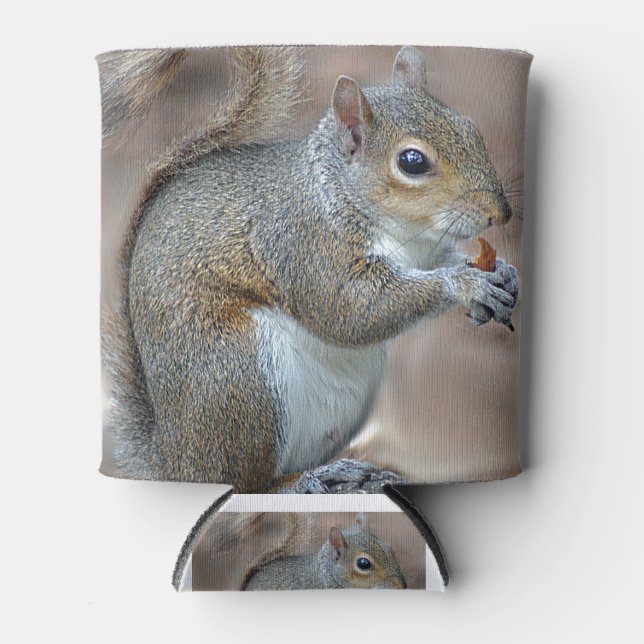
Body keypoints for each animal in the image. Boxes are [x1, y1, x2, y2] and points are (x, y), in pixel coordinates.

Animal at [99, 46, 519, 492]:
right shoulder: (305, 243)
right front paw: (467, 284)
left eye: (470, 128)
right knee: (246, 482)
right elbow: (352, 310)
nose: (500, 213)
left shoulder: (423, 251)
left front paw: (504, 274)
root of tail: (173, 460)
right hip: (238, 374)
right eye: (412, 161)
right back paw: (300, 481)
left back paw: (338, 470)